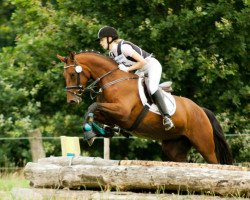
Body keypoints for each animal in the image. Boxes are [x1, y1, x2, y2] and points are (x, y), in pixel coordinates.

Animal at [56, 51, 232, 164]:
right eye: (64, 76)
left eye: (73, 74)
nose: (72, 101)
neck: (112, 81)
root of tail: (201, 110)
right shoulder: (112, 114)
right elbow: (92, 112)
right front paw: (95, 132)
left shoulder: (122, 112)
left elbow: (93, 106)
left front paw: (90, 133)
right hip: (174, 147)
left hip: (204, 144)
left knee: (214, 162)